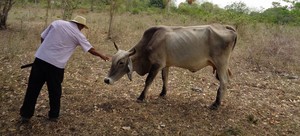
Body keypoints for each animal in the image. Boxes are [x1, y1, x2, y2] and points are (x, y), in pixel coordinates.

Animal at [104, 24, 238, 109]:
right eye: (112, 60)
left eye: (121, 62)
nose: (106, 80)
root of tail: (226, 27)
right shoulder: (165, 65)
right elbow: (165, 78)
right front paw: (163, 93)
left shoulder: (157, 64)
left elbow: (148, 80)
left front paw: (141, 97)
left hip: (221, 64)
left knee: (224, 82)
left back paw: (216, 104)